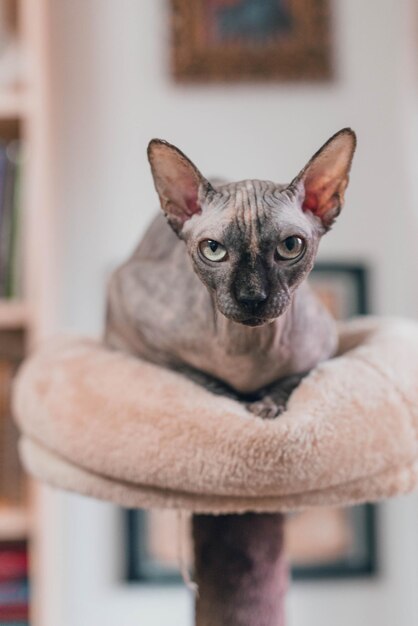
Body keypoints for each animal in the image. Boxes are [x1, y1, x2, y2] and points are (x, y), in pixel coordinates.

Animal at [104, 128, 356, 624]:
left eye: (290, 247)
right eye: (214, 250)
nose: (252, 297)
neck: (248, 349)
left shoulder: (324, 348)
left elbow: (292, 379)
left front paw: (267, 404)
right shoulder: (131, 309)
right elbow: (195, 375)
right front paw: (235, 400)